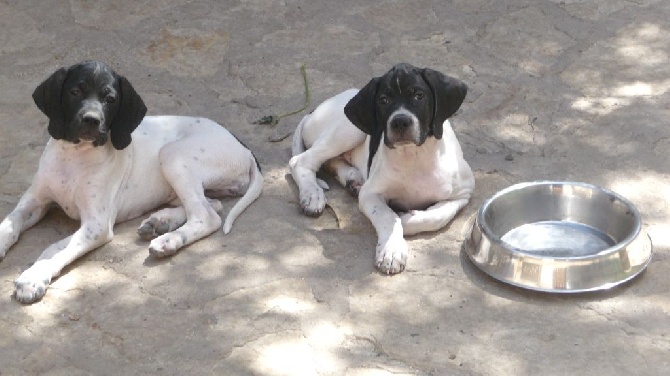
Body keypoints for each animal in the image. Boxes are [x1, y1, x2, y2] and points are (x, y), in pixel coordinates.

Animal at [0, 61, 266, 302]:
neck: (73, 157)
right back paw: (161, 222)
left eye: (110, 99)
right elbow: (9, 223)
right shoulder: (34, 201)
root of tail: (244, 149)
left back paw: (168, 240)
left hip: (173, 155)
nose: (92, 120)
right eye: (75, 92)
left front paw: (33, 278)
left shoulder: (96, 225)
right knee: (212, 204)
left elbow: (55, 248)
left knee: (207, 216)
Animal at [292, 63, 476, 274]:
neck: (414, 155)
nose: (400, 121)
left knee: (331, 161)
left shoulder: (463, 193)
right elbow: (388, 217)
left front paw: (407, 218)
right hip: (350, 130)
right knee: (300, 161)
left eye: (418, 96)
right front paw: (392, 250)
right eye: (384, 100)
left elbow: (438, 216)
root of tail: (313, 111)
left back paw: (353, 179)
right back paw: (312, 196)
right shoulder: (370, 194)